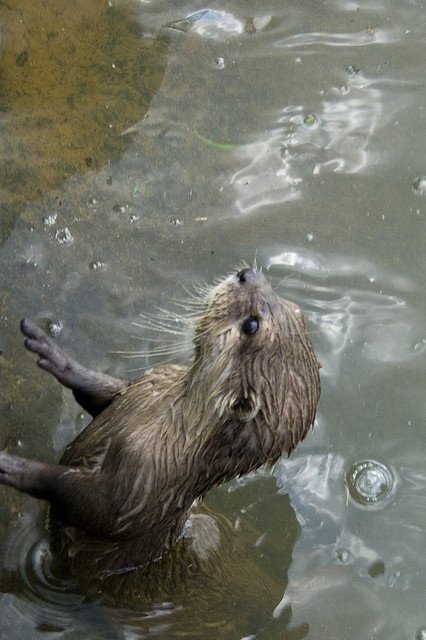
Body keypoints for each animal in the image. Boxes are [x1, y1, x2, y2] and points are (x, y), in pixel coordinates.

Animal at [0, 268, 320, 588]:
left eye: (251, 325)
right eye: (292, 306)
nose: (248, 273)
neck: (167, 423)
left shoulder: (141, 481)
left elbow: (87, 504)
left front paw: (12, 466)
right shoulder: (146, 384)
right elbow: (104, 392)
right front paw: (56, 356)